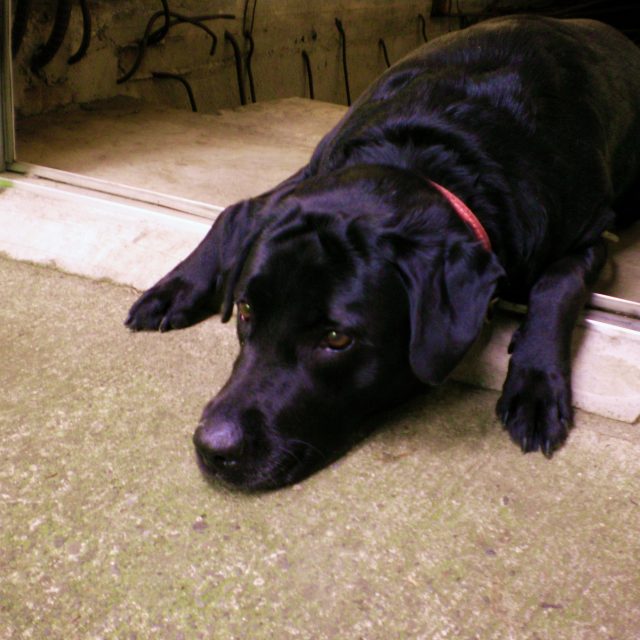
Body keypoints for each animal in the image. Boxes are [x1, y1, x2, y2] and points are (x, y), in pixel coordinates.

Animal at [126, 15, 640, 490]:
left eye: (337, 339)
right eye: (246, 309)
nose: (213, 449)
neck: (432, 153)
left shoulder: (592, 232)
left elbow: (558, 283)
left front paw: (535, 385)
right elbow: (236, 210)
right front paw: (181, 284)